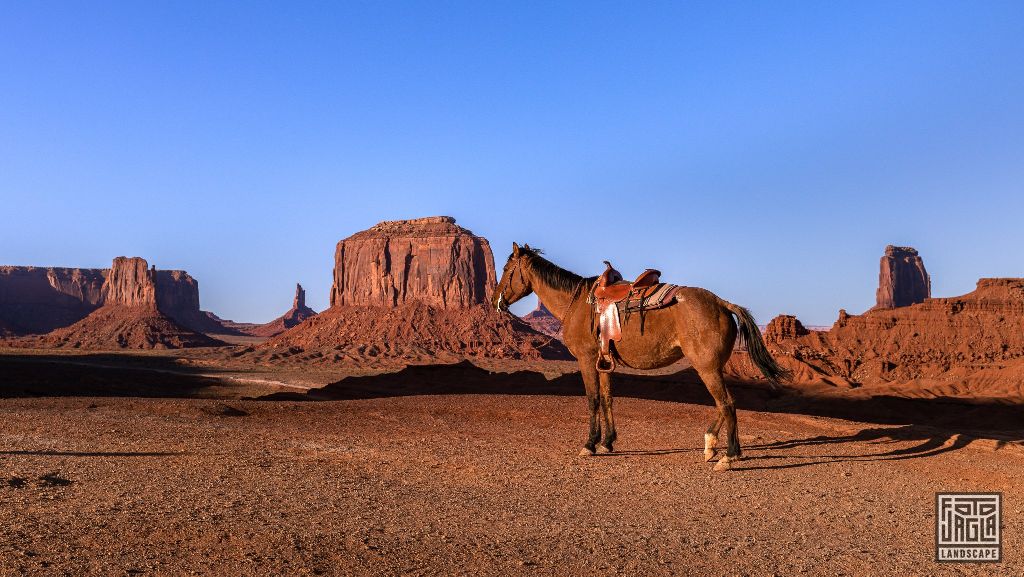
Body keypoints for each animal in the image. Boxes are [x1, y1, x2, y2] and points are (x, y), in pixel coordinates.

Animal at [493, 243, 789, 471]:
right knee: (724, 403)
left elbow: (592, 400)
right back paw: (710, 446)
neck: (575, 303)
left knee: (726, 403)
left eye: (507, 270)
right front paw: (607, 442)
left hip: (706, 366)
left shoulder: (586, 359)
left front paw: (589, 445)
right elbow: (607, 399)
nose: (496, 300)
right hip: (711, 366)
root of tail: (722, 303)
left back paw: (728, 457)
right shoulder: (604, 362)